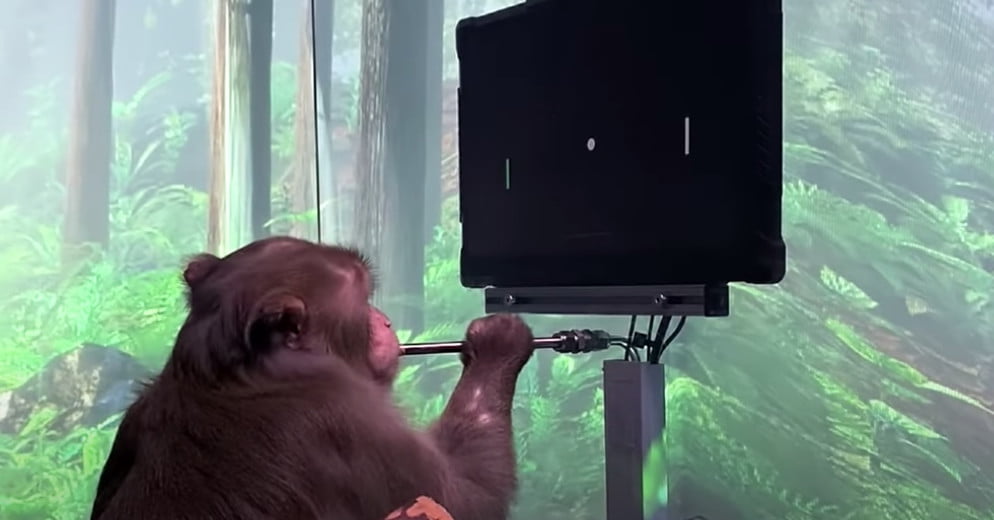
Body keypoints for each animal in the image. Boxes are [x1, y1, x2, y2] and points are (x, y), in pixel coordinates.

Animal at [89, 236, 535, 520]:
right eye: (365, 298)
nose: (386, 322)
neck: (234, 371)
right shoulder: (351, 420)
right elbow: (468, 497)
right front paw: (497, 344)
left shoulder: (136, 413)